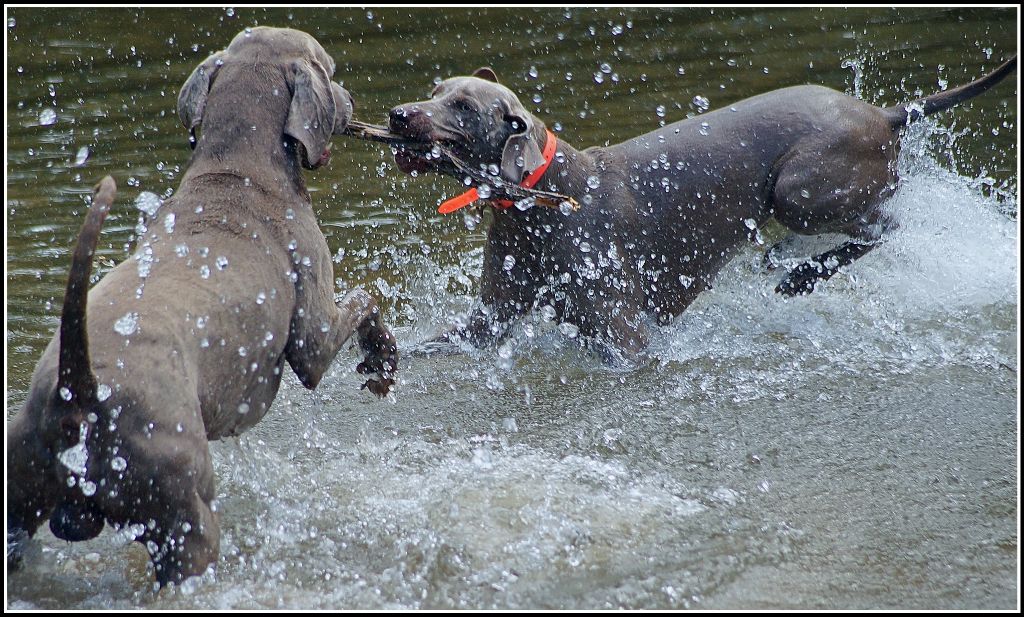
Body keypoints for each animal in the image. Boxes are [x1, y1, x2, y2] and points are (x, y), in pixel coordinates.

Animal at [6, 27, 397, 589]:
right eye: (329, 67)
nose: (351, 102)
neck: (236, 170)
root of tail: (77, 387)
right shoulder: (313, 332)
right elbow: (365, 301)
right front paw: (382, 361)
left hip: (21, 485)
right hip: (181, 512)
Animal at [389, 56, 1015, 362]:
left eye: (462, 106)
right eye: (434, 90)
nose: (396, 113)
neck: (541, 203)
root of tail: (885, 112)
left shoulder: (625, 337)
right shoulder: (489, 319)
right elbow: (432, 343)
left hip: (801, 190)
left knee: (887, 224)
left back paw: (801, 277)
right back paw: (783, 259)